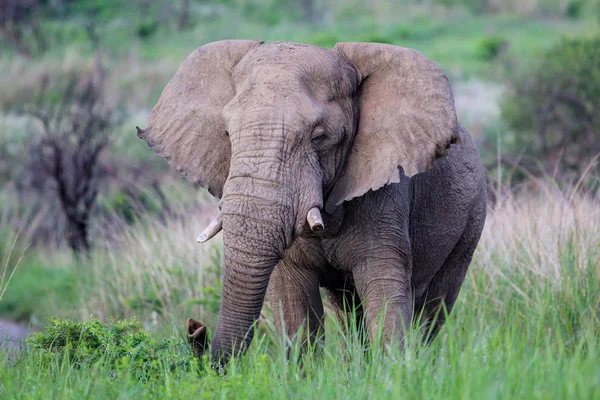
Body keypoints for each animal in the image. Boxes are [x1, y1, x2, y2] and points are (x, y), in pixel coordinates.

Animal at [137, 39, 488, 362]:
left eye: (319, 138)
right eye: (226, 133)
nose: (195, 327)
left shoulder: (386, 196)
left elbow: (384, 291)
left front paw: (393, 372)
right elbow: (296, 310)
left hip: (471, 219)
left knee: (432, 310)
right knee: (348, 312)